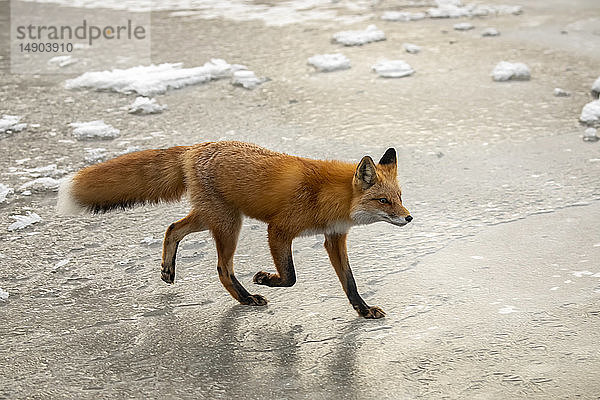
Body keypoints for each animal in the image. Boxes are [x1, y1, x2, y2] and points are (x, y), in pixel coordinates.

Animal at [57, 141, 412, 318]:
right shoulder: (279, 229)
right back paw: (246, 297)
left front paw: (363, 310)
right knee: (221, 268)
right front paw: (266, 279)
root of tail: (195, 147)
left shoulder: (334, 238)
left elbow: (350, 282)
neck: (327, 194)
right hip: (229, 224)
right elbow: (290, 276)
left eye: (399, 197)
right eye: (383, 201)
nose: (409, 218)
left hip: (213, 217)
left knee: (172, 228)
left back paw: (168, 269)